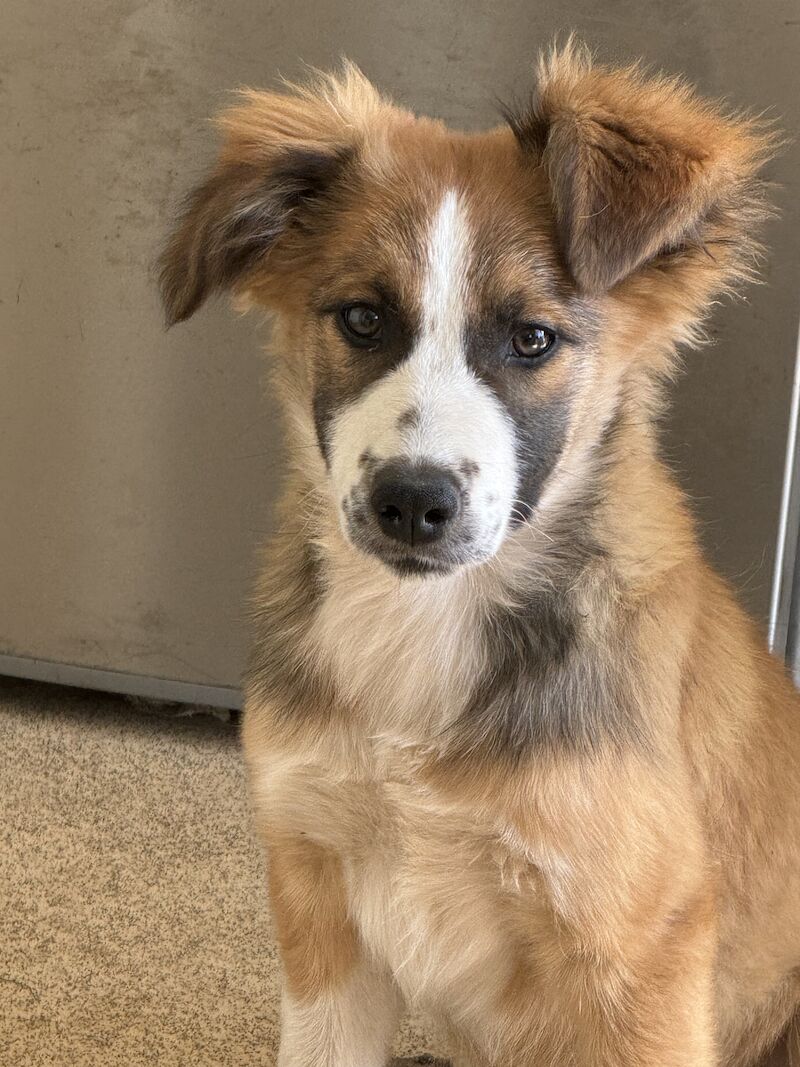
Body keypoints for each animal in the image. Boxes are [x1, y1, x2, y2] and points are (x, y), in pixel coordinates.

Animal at [157, 41, 800, 1067]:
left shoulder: (639, 953)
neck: (429, 626)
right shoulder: (318, 888)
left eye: (532, 337)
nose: (414, 501)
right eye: (363, 319)